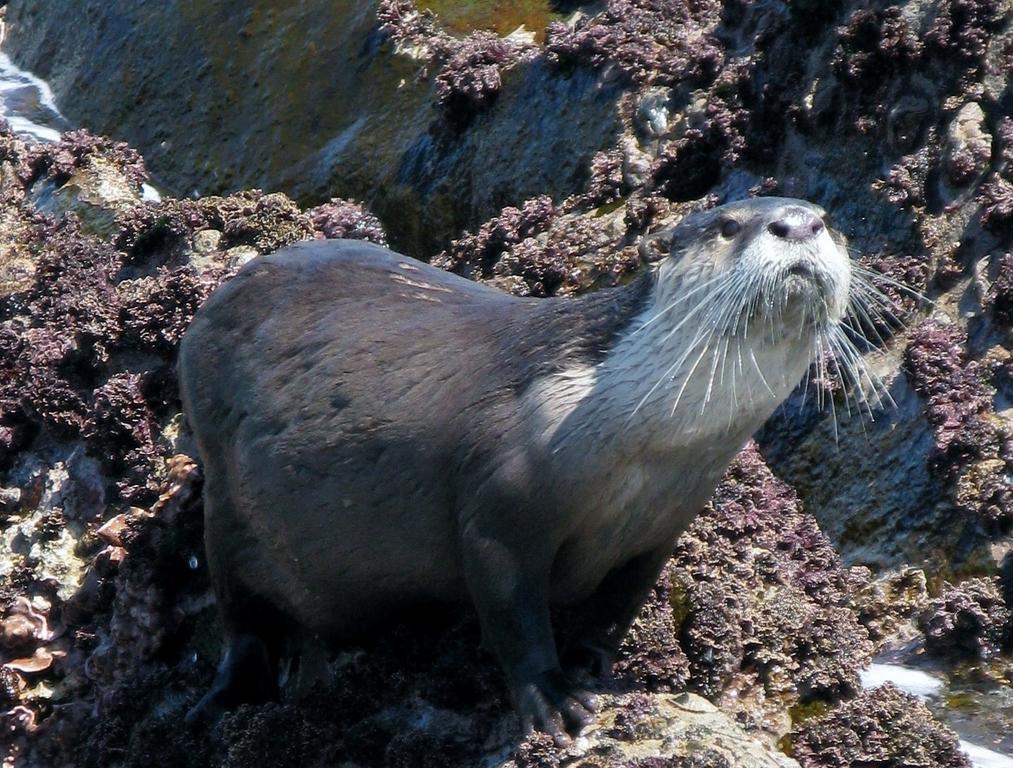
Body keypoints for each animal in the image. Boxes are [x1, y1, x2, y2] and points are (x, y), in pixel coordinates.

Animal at [180, 195, 854, 741]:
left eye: (828, 220)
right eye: (728, 225)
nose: (797, 223)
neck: (637, 437)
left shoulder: (661, 528)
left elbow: (616, 608)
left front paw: (591, 665)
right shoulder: (504, 496)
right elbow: (510, 607)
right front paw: (553, 695)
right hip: (226, 506)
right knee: (241, 614)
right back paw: (226, 697)